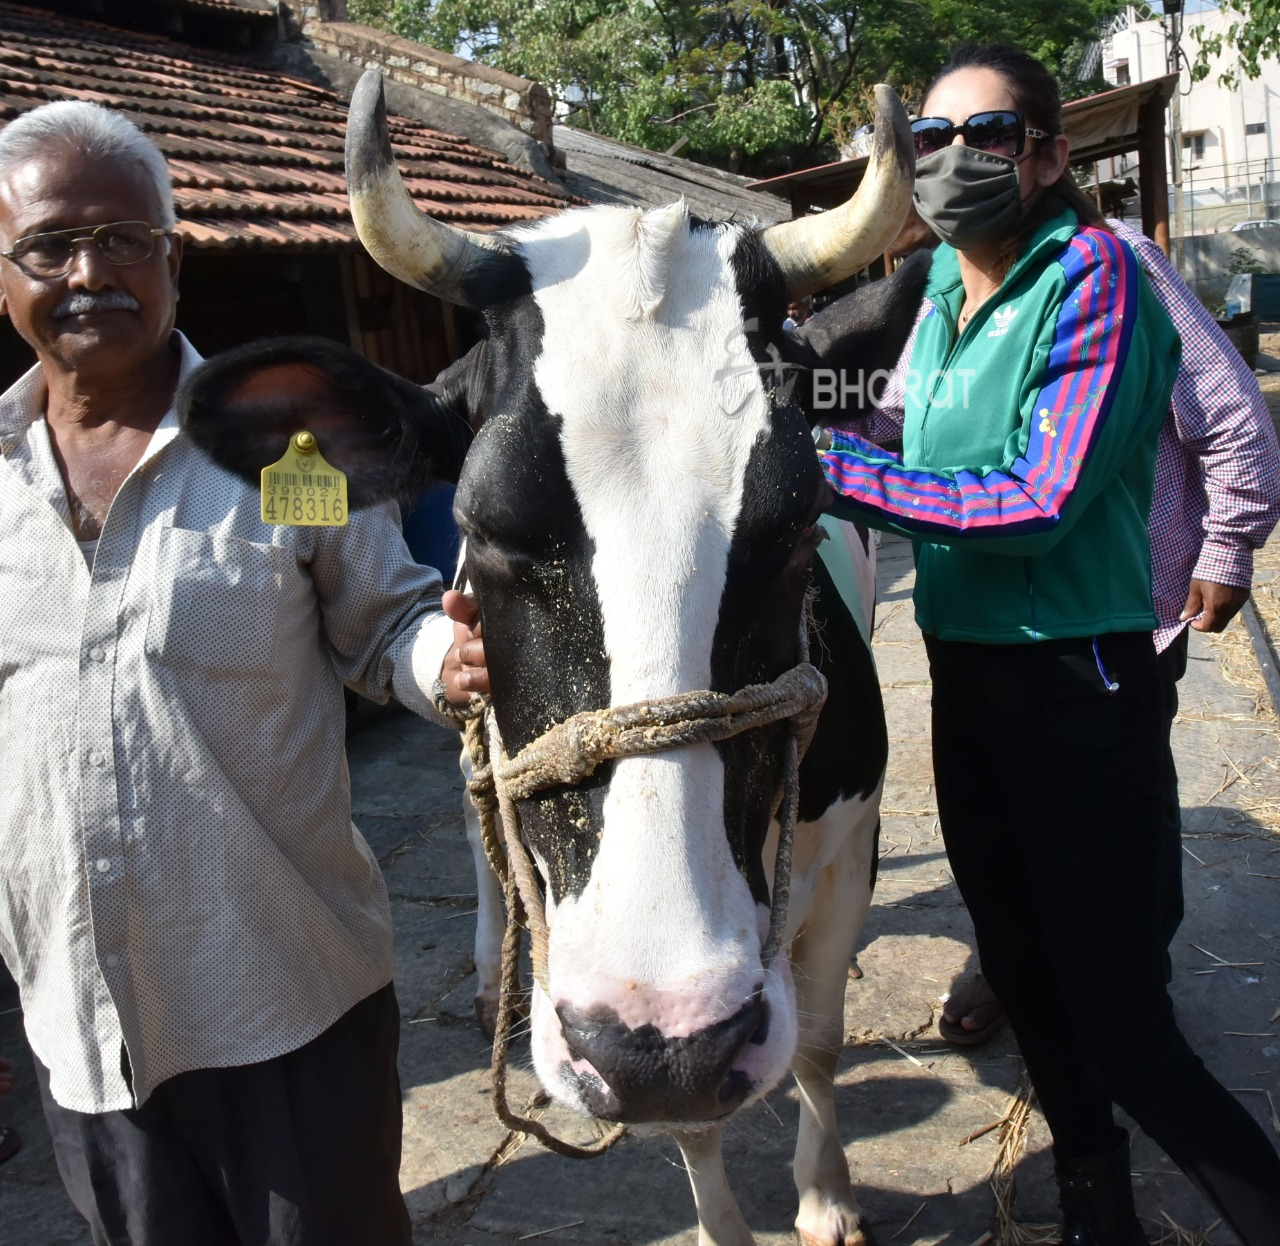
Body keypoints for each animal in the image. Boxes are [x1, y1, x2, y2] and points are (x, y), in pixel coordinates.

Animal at [185, 72, 926, 1244]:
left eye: (802, 518)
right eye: (484, 524)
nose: (661, 1036)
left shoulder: (848, 835)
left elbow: (814, 1037)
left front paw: (824, 1194)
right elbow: (693, 1119)